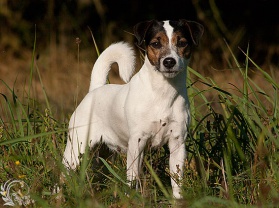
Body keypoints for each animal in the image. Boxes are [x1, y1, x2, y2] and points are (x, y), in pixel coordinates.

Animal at [63, 19, 203, 198]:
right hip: (75, 149)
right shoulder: (137, 143)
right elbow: (132, 178)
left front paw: (178, 200)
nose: (169, 61)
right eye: (156, 43)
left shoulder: (177, 142)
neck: (163, 93)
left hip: (101, 153)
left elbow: (177, 181)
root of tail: (95, 89)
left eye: (182, 43)